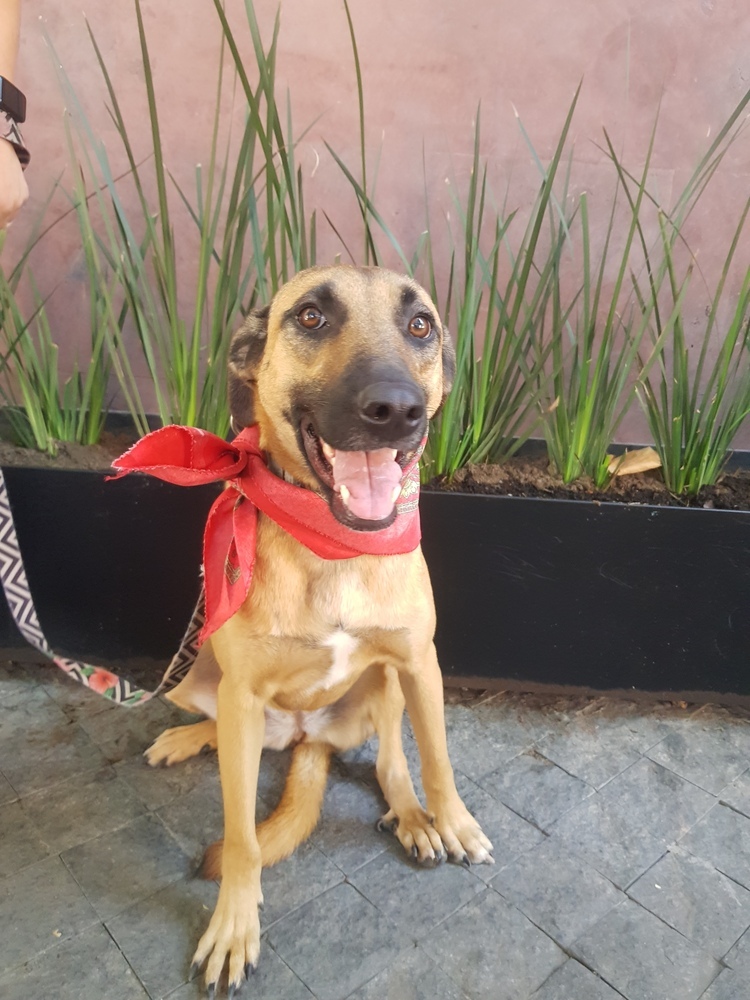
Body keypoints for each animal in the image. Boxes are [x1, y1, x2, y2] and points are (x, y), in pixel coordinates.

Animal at [145, 264, 494, 992]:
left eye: (421, 325)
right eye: (310, 317)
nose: (395, 408)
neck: (334, 545)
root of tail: (309, 738)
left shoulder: (419, 663)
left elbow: (437, 759)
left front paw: (452, 820)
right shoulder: (243, 693)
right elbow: (243, 838)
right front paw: (234, 926)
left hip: (384, 686)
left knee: (391, 761)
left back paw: (413, 818)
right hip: (202, 679)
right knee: (224, 731)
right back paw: (189, 738)